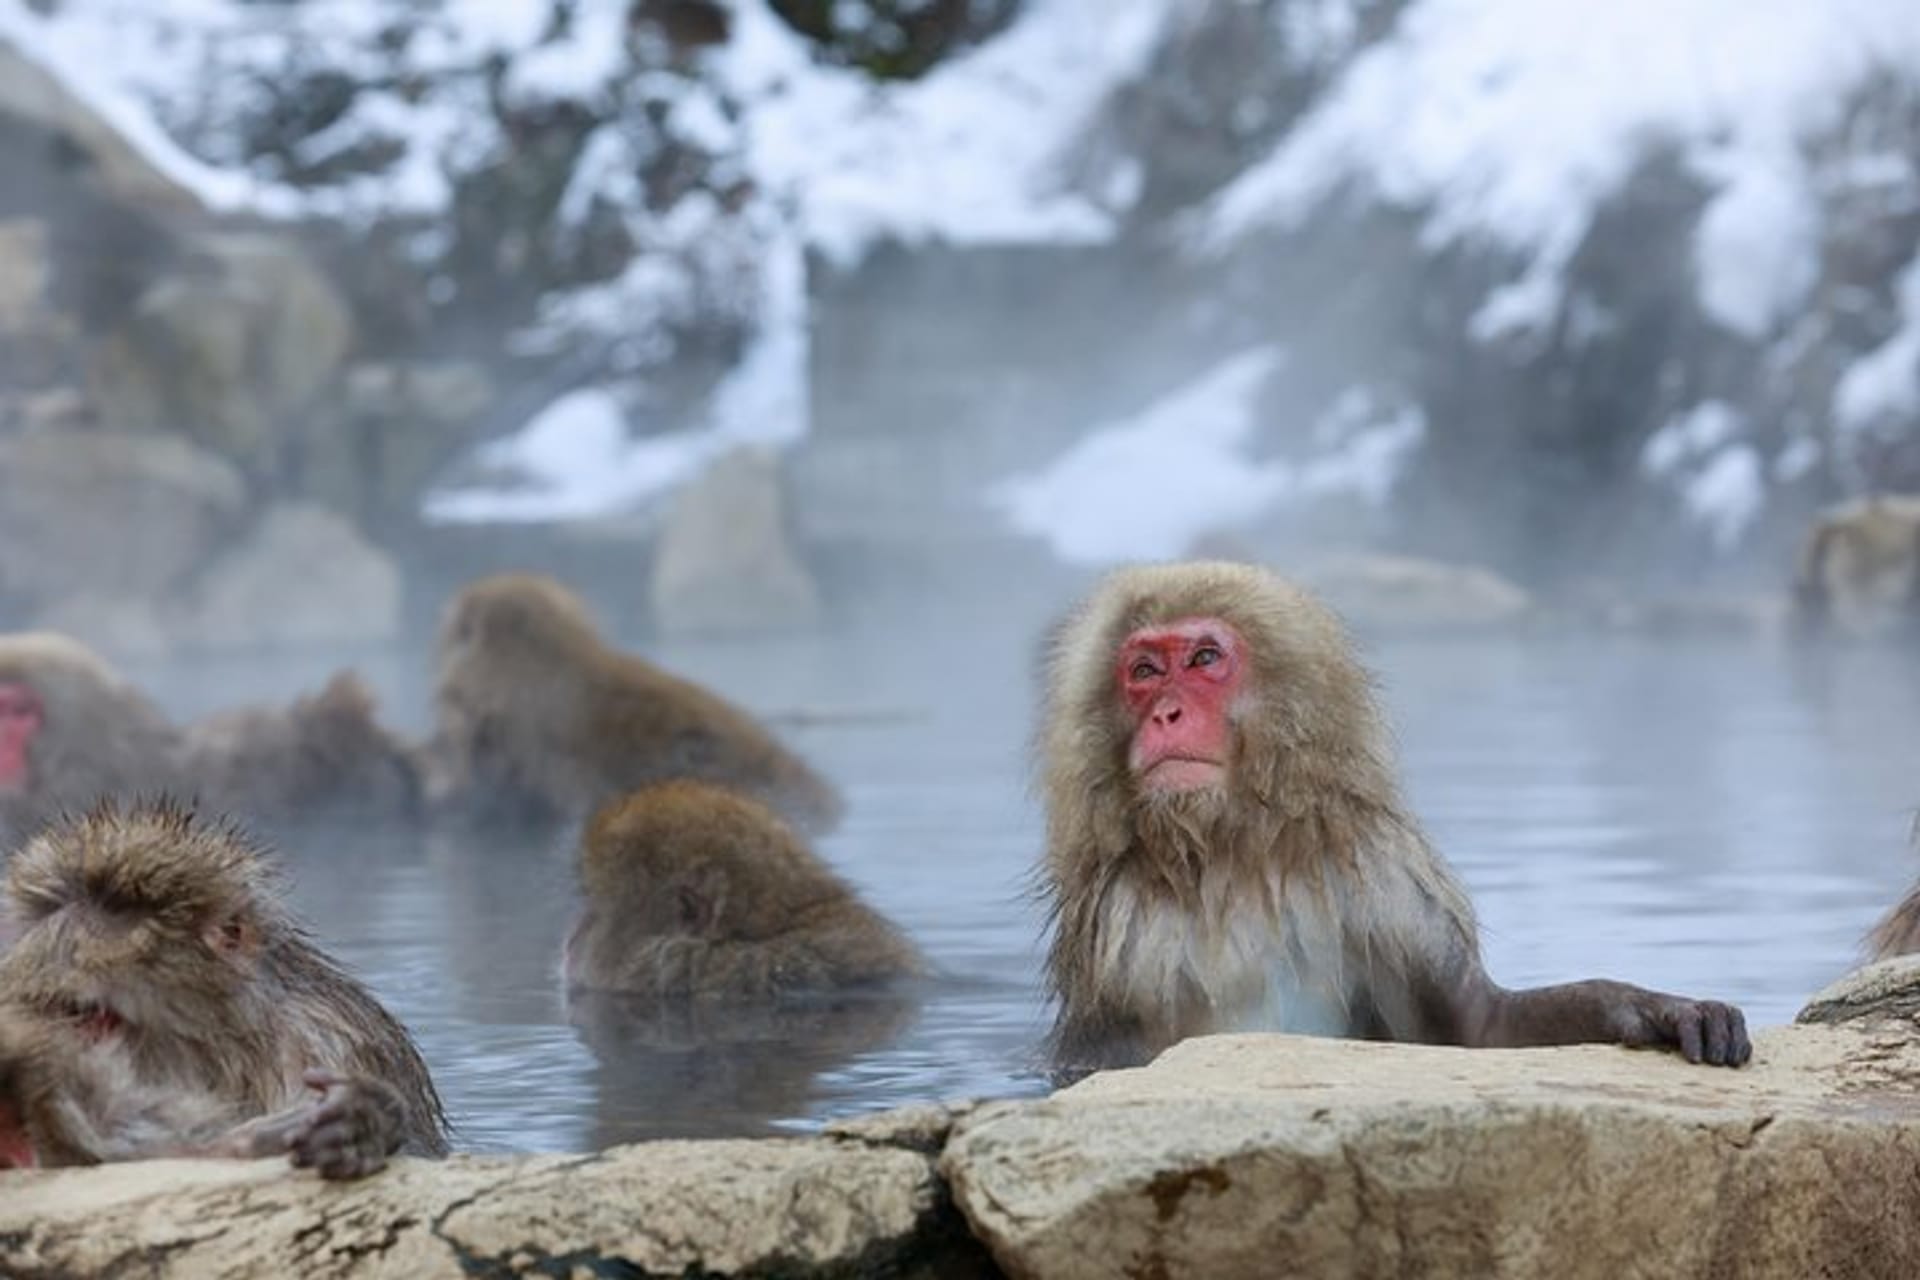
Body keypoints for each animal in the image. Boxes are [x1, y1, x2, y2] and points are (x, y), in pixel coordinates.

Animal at [1038, 561, 1752, 1076]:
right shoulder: (1121, 935)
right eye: (1144, 670)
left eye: (1204, 659)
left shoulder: (1384, 882)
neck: (1236, 853)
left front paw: (1658, 1010)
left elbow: (1478, 1027)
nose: (1165, 713)